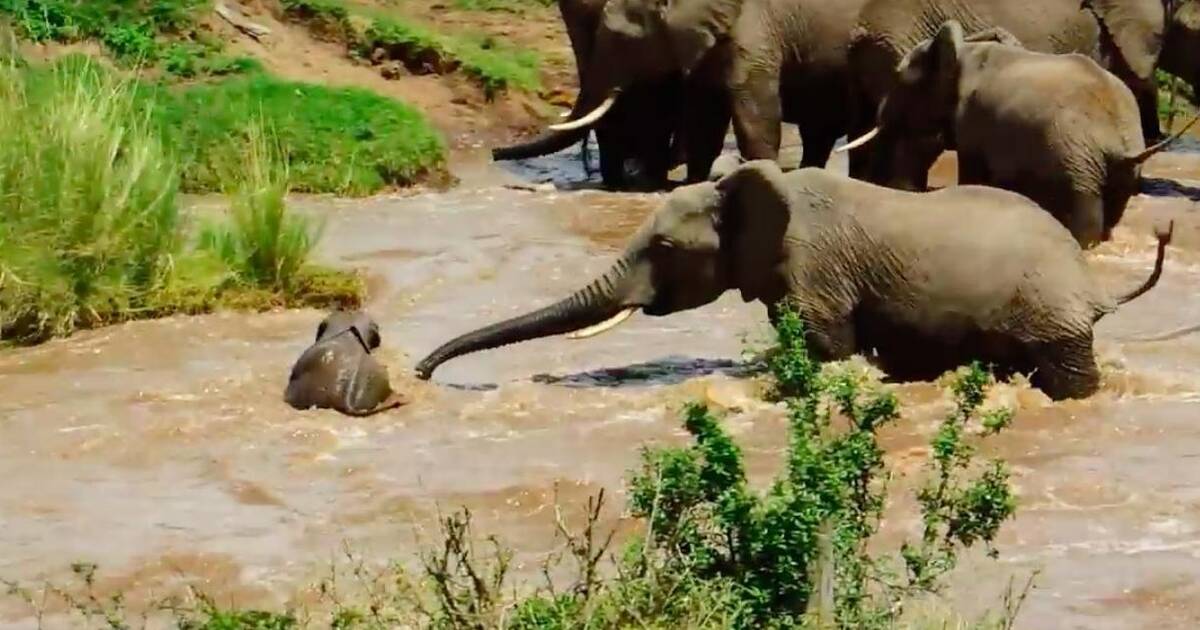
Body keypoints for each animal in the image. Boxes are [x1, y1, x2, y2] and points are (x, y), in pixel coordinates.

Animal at [415, 159, 1171, 400]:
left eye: (663, 246)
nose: (421, 373)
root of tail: (1089, 279)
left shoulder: (816, 271)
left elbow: (826, 347)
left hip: (1050, 315)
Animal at [849, 20, 1195, 246]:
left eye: (898, 78)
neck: (967, 50)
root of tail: (1122, 143)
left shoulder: (975, 120)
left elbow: (974, 171)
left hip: (1078, 162)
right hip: (1116, 172)